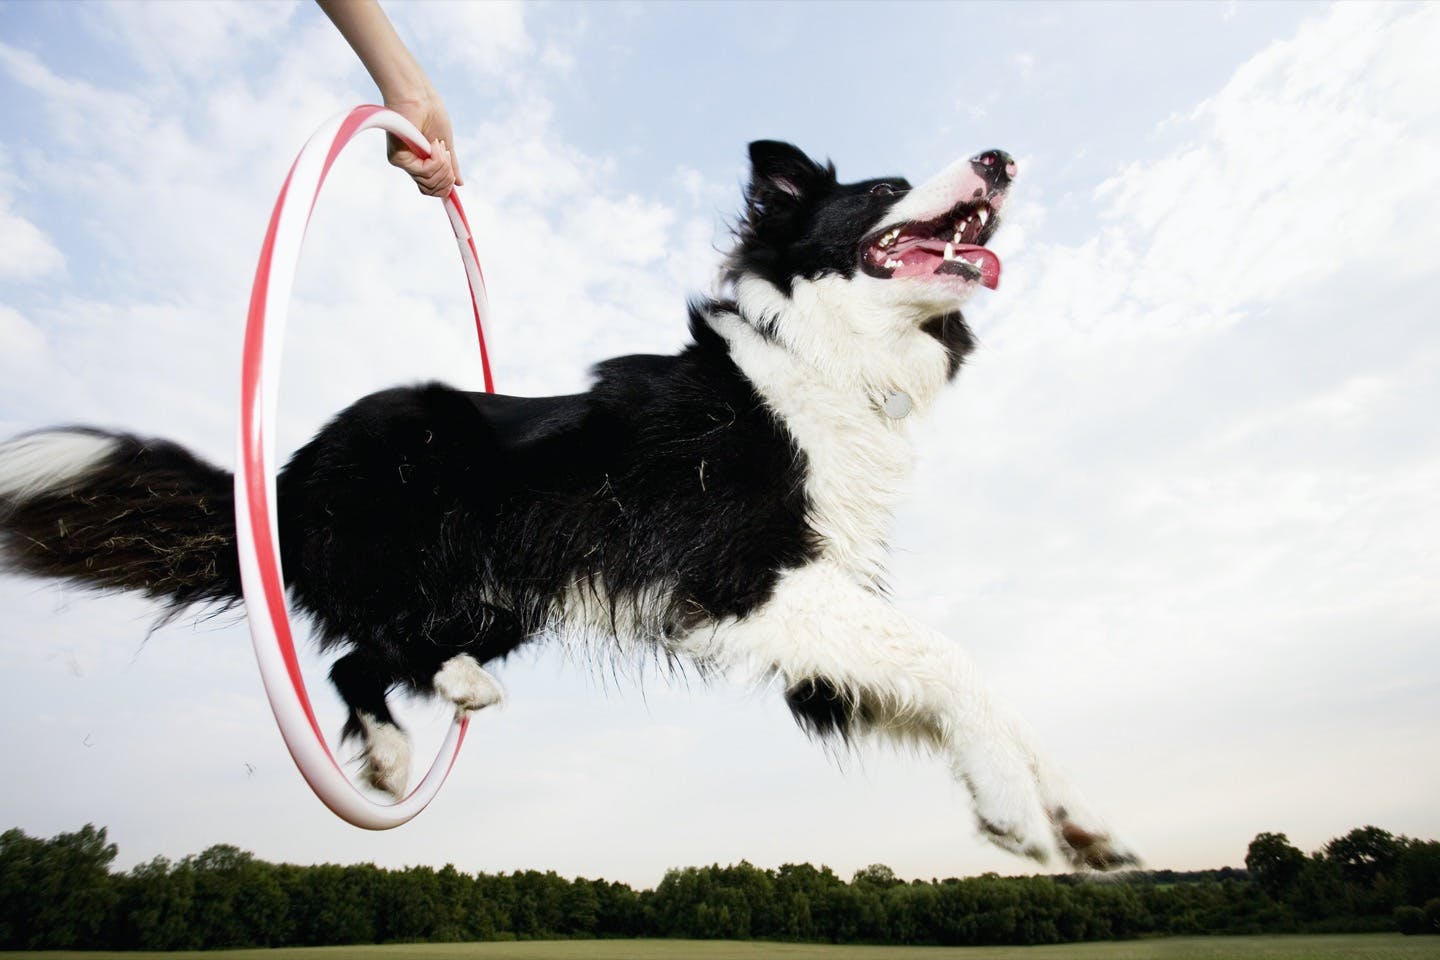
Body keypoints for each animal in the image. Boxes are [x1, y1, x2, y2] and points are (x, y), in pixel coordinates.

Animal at [0, 141, 1134, 869]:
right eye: (890, 186)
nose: (1000, 158)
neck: (820, 362)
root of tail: (286, 475)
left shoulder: (816, 636)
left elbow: (957, 685)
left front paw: (1073, 817)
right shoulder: (744, 582)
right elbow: (953, 661)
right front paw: (1013, 808)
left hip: (502, 600)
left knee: (371, 655)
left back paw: (433, 712)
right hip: (431, 540)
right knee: (359, 648)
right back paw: (411, 731)